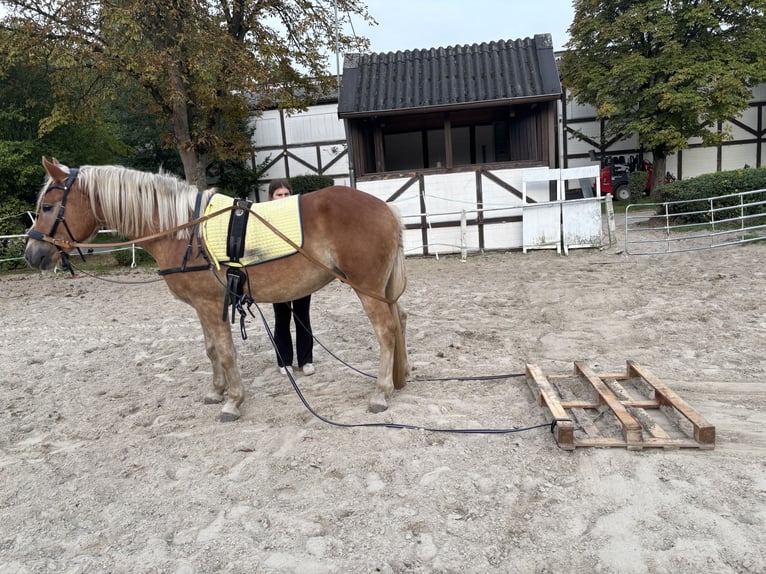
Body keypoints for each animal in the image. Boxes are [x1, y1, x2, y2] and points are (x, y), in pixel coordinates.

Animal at [24, 158, 409, 421]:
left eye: (47, 207)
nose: (32, 254)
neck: (182, 230)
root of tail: (386, 206)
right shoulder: (202, 305)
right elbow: (211, 350)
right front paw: (216, 391)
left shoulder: (212, 304)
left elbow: (225, 352)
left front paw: (232, 401)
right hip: (381, 288)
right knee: (399, 320)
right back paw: (400, 377)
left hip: (366, 289)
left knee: (386, 330)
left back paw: (380, 392)